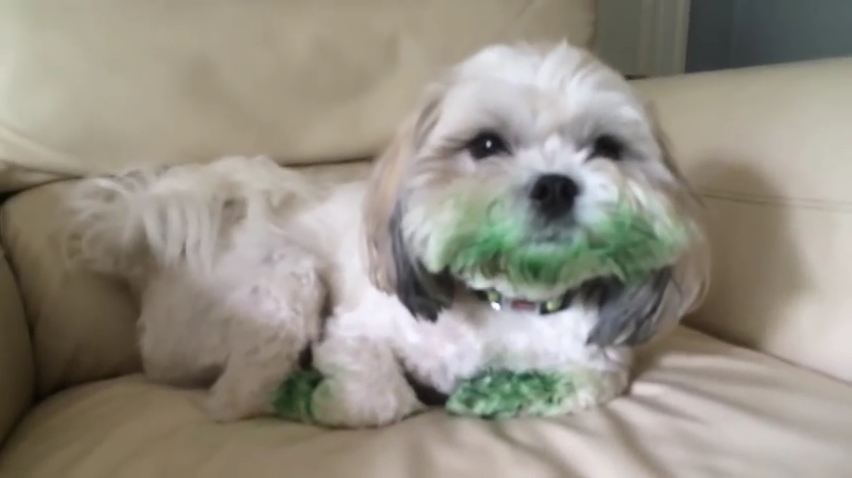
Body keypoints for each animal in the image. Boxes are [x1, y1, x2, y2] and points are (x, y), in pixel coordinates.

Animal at [65, 43, 704, 428]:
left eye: (607, 148)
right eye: (487, 145)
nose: (555, 185)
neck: (507, 300)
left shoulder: (601, 361)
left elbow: (587, 383)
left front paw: (493, 394)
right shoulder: (357, 332)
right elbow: (383, 396)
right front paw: (330, 401)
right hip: (285, 282)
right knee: (235, 397)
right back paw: (289, 393)